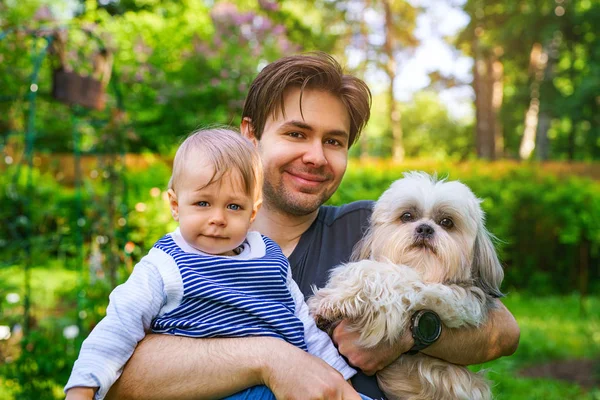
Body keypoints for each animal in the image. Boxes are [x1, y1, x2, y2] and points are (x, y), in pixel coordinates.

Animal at [308, 172, 504, 400]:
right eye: (407, 216)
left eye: (447, 222)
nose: (425, 228)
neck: (421, 267)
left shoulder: (450, 300)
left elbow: (388, 275)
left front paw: (335, 298)